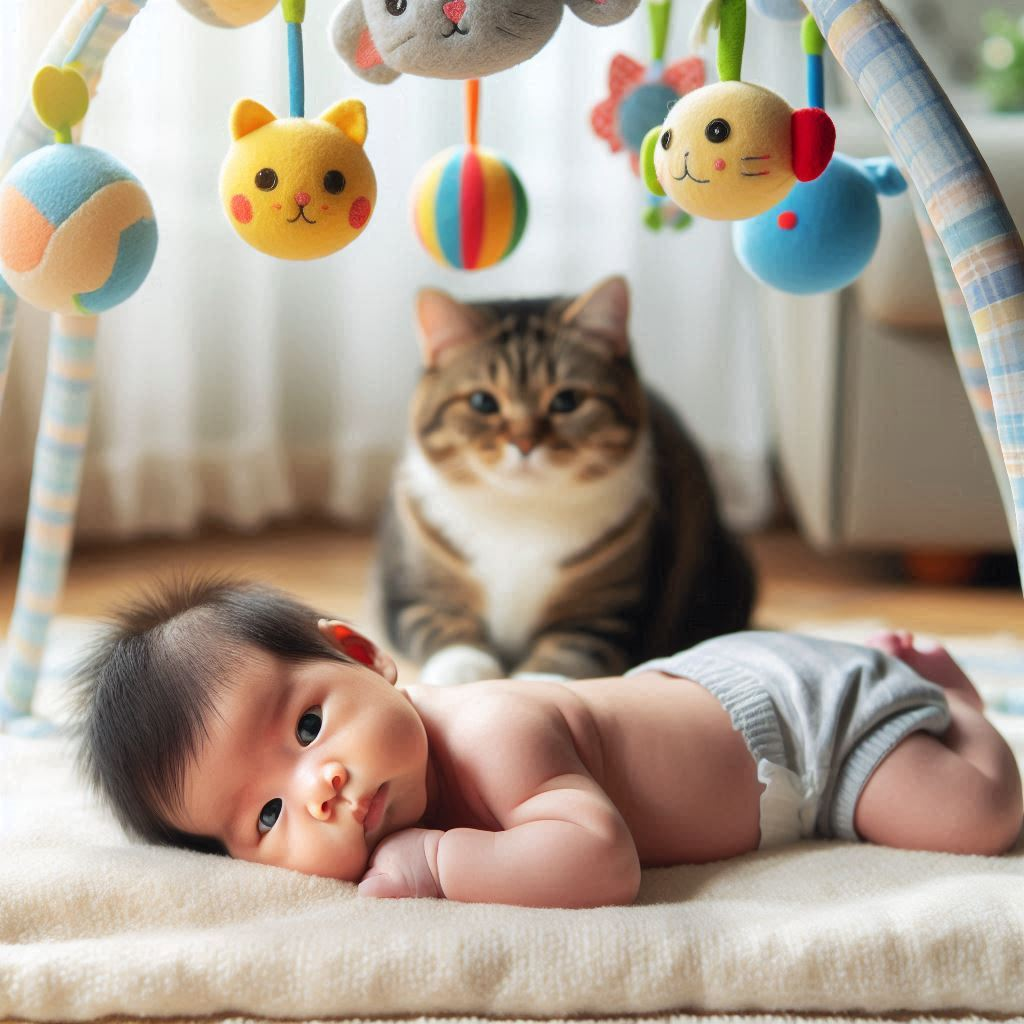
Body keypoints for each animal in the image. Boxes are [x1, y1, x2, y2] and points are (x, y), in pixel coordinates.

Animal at [374, 276, 753, 684]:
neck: (519, 516)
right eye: (482, 402)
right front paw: (462, 673)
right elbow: (443, 627)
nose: (524, 443)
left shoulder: (608, 612)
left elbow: (570, 651)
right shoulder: (407, 594)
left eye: (567, 400)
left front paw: (537, 685)